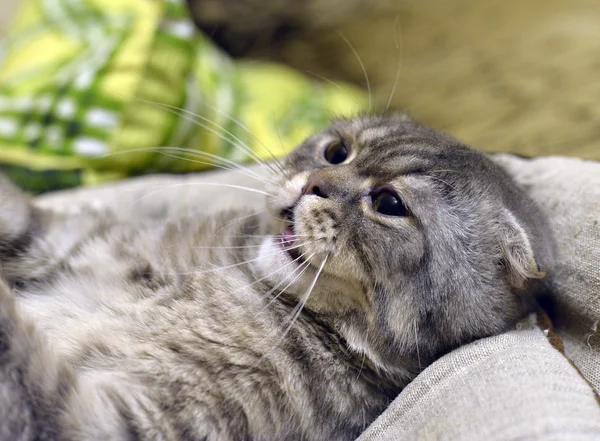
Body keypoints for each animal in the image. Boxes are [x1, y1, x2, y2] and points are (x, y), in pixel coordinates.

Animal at [0, 114, 552, 440]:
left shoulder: (124, 423)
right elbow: (15, 216)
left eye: (389, 204)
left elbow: (21, 367)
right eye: (336, 152)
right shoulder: (60, 239)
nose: (312, 184)